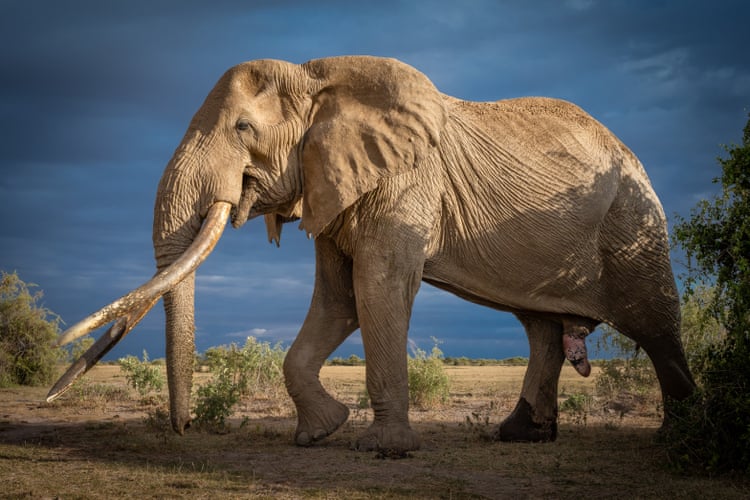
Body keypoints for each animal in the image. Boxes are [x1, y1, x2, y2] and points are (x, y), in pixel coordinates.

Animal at [48, 55, 695, 451]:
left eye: (242, 129)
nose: (184, 429)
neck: (318, 79)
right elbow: (340, 300)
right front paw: (319, 434)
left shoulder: (407, 179)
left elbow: (376, 286)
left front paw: (383, 449)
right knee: (540, 328)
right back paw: (517, 436)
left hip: (633, 220)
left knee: (655, 323)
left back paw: (681, 440)